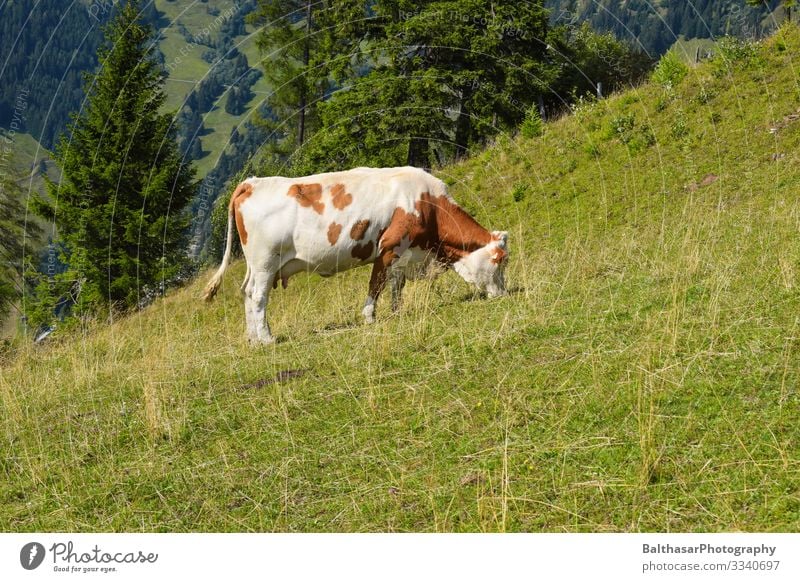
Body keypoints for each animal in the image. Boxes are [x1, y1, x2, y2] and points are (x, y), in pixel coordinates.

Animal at [203, 167, 510, 344]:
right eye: (499, 261)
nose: (504, 294)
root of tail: (252, 183)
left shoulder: (404, 253)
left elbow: (397, 285)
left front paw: (397, 311)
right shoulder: (389, 247)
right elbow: (376, 284)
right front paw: (369, 316)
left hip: (255, 265)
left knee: (246, 292)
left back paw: (252, 338)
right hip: (266, 262)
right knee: (258, 296)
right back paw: (267, 339)